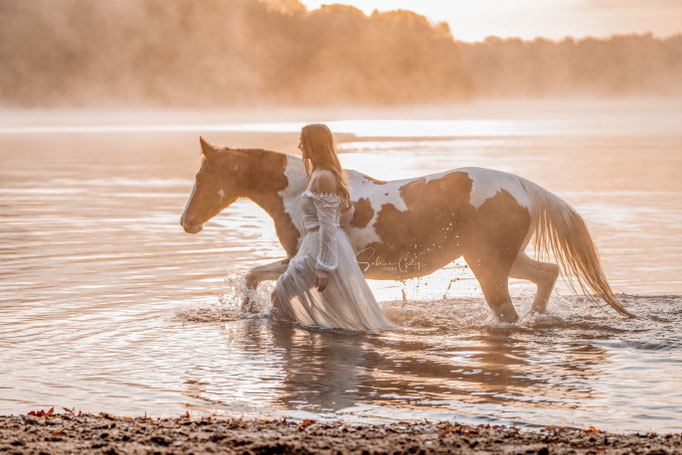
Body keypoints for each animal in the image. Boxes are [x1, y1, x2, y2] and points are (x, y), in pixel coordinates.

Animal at [181, 137, 632, 322]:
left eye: (202, 176)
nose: (186, 222)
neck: (297, 189)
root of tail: (522, 186)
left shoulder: (300, 258)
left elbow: (258, 277)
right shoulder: (296, 259)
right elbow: (253, 275)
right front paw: (245, 308)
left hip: (489, 267)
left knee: (508, 311)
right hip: (503, 259)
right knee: (547, 274)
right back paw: (540, 317)